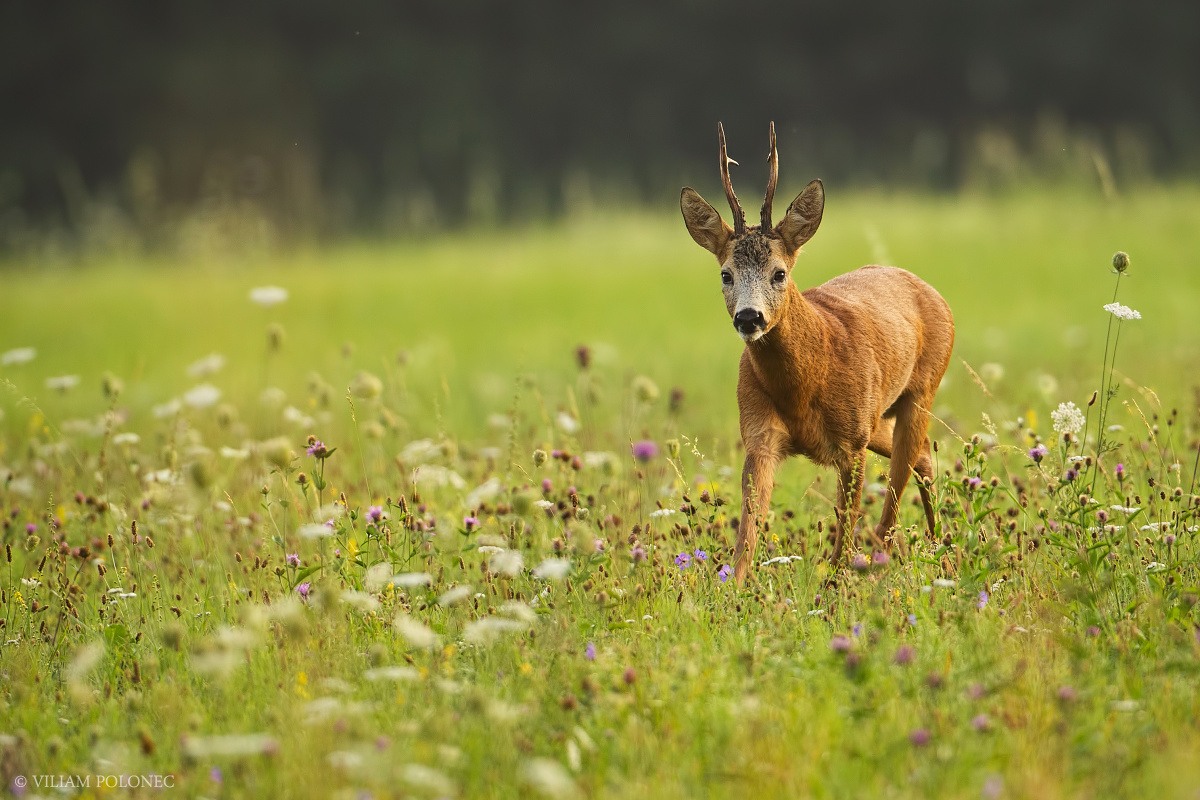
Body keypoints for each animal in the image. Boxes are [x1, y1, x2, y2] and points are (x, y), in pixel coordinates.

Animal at [681, 120, 950, 582]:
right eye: (725, 274)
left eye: (779, 273)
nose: (749, 318)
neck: (804, 386)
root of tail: (930, 290)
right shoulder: (758, 433)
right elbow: (748, 527)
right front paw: (732, 587)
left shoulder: (852, 440)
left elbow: (846, 523)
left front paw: (837, 582)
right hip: (880, 417)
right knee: (924, 460)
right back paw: (942, 552)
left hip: (921, 390)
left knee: (895, 494)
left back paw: (900, 559)